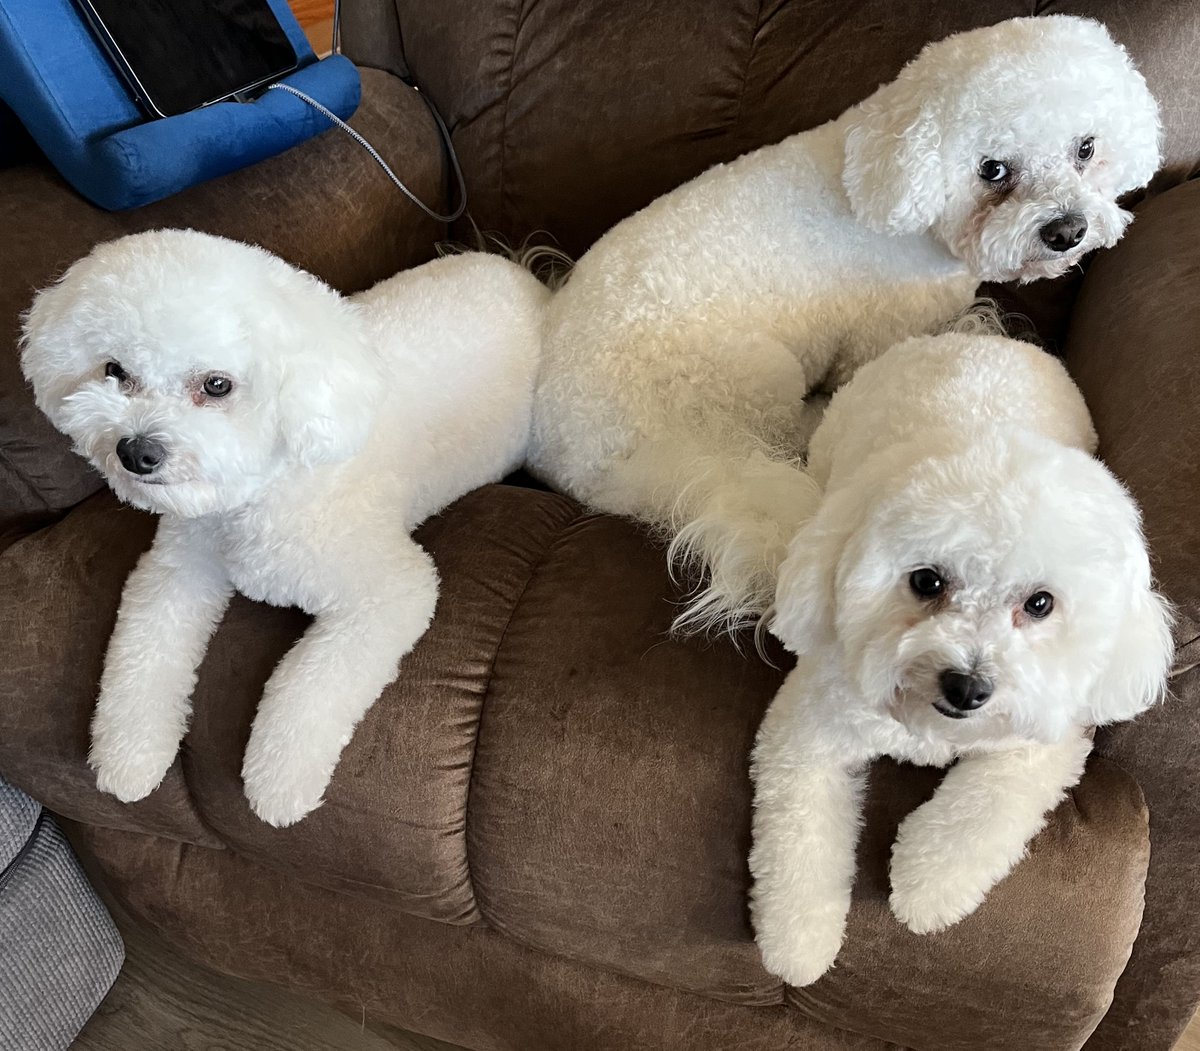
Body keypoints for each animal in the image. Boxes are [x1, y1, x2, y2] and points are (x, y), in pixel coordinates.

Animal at [21, 230, 547, 830]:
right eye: (113, 370)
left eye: (217, 384)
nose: (135, 452)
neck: (260, 492)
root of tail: (526, 275)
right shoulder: (178, 569)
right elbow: (143, 650)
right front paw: (129, 755)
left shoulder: (389, 592)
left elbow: (309, 684)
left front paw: (277, 781)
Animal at [528, 14, 1161, 633]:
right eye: (993, 170)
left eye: (1086, 148)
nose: (1066, 231)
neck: (886, 179)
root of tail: (573, 460)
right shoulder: (882, 337)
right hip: (757, 375)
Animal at [748, 333, 1171, 988]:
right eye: (926, 580)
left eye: (1040, 602)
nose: (967, 688)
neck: (933, 727)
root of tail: (982, 334)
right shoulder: (810, 729)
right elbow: (799, 836)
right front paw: (798, 942)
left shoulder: (1046, 741)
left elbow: (986, 807)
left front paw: (925, 886)